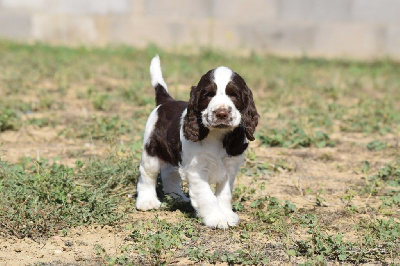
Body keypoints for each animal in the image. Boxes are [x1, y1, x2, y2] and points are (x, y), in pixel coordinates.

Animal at [135, 54, 260, 229]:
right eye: (208, 94)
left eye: (234, 94)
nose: (221, 113)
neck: (217, 135)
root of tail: (166, 101)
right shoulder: (197, 170)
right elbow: (207, 196)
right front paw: (217, 219)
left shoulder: (230, 167)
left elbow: (224, 194)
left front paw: (227, 215)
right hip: (151, 150)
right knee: (147, 175)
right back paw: (147, 201)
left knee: (169, 174)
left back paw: (177, 197)